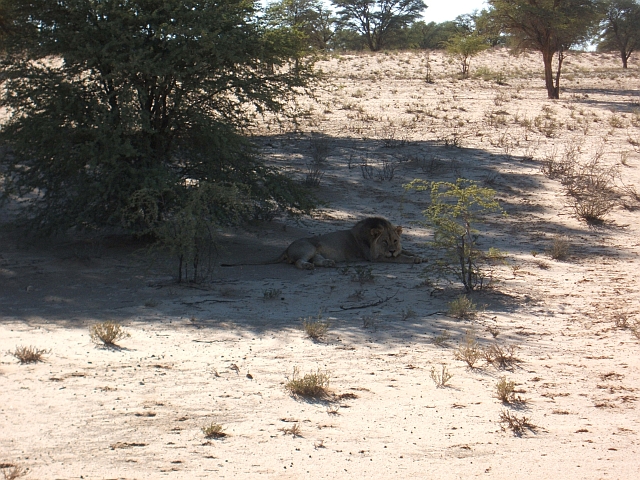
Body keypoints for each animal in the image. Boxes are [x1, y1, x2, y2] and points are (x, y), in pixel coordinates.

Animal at [221, 218, 424, 270]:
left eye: (395, 240)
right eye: (384, 242)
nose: (392, 250)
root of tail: (286, 247)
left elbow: (407, 252)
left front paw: (420, 257)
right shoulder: (374, 258)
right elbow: (400, 259)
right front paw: (412, 260)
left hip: (317, 252)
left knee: (317, 260)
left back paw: (329, 263)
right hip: (309, 247)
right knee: (298, 262)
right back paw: (308, 267)